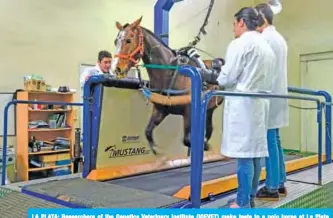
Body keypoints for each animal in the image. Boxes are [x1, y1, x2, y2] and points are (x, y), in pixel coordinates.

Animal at [110, 17, 222, 156]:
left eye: (128, 40)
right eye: (116, 41)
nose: (117, 69)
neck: (170, 73)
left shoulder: (189, 111)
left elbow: (188, 140)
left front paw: (205, 146)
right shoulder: (160, 110)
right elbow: (148, 132)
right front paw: (157, 151)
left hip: (210, 108)